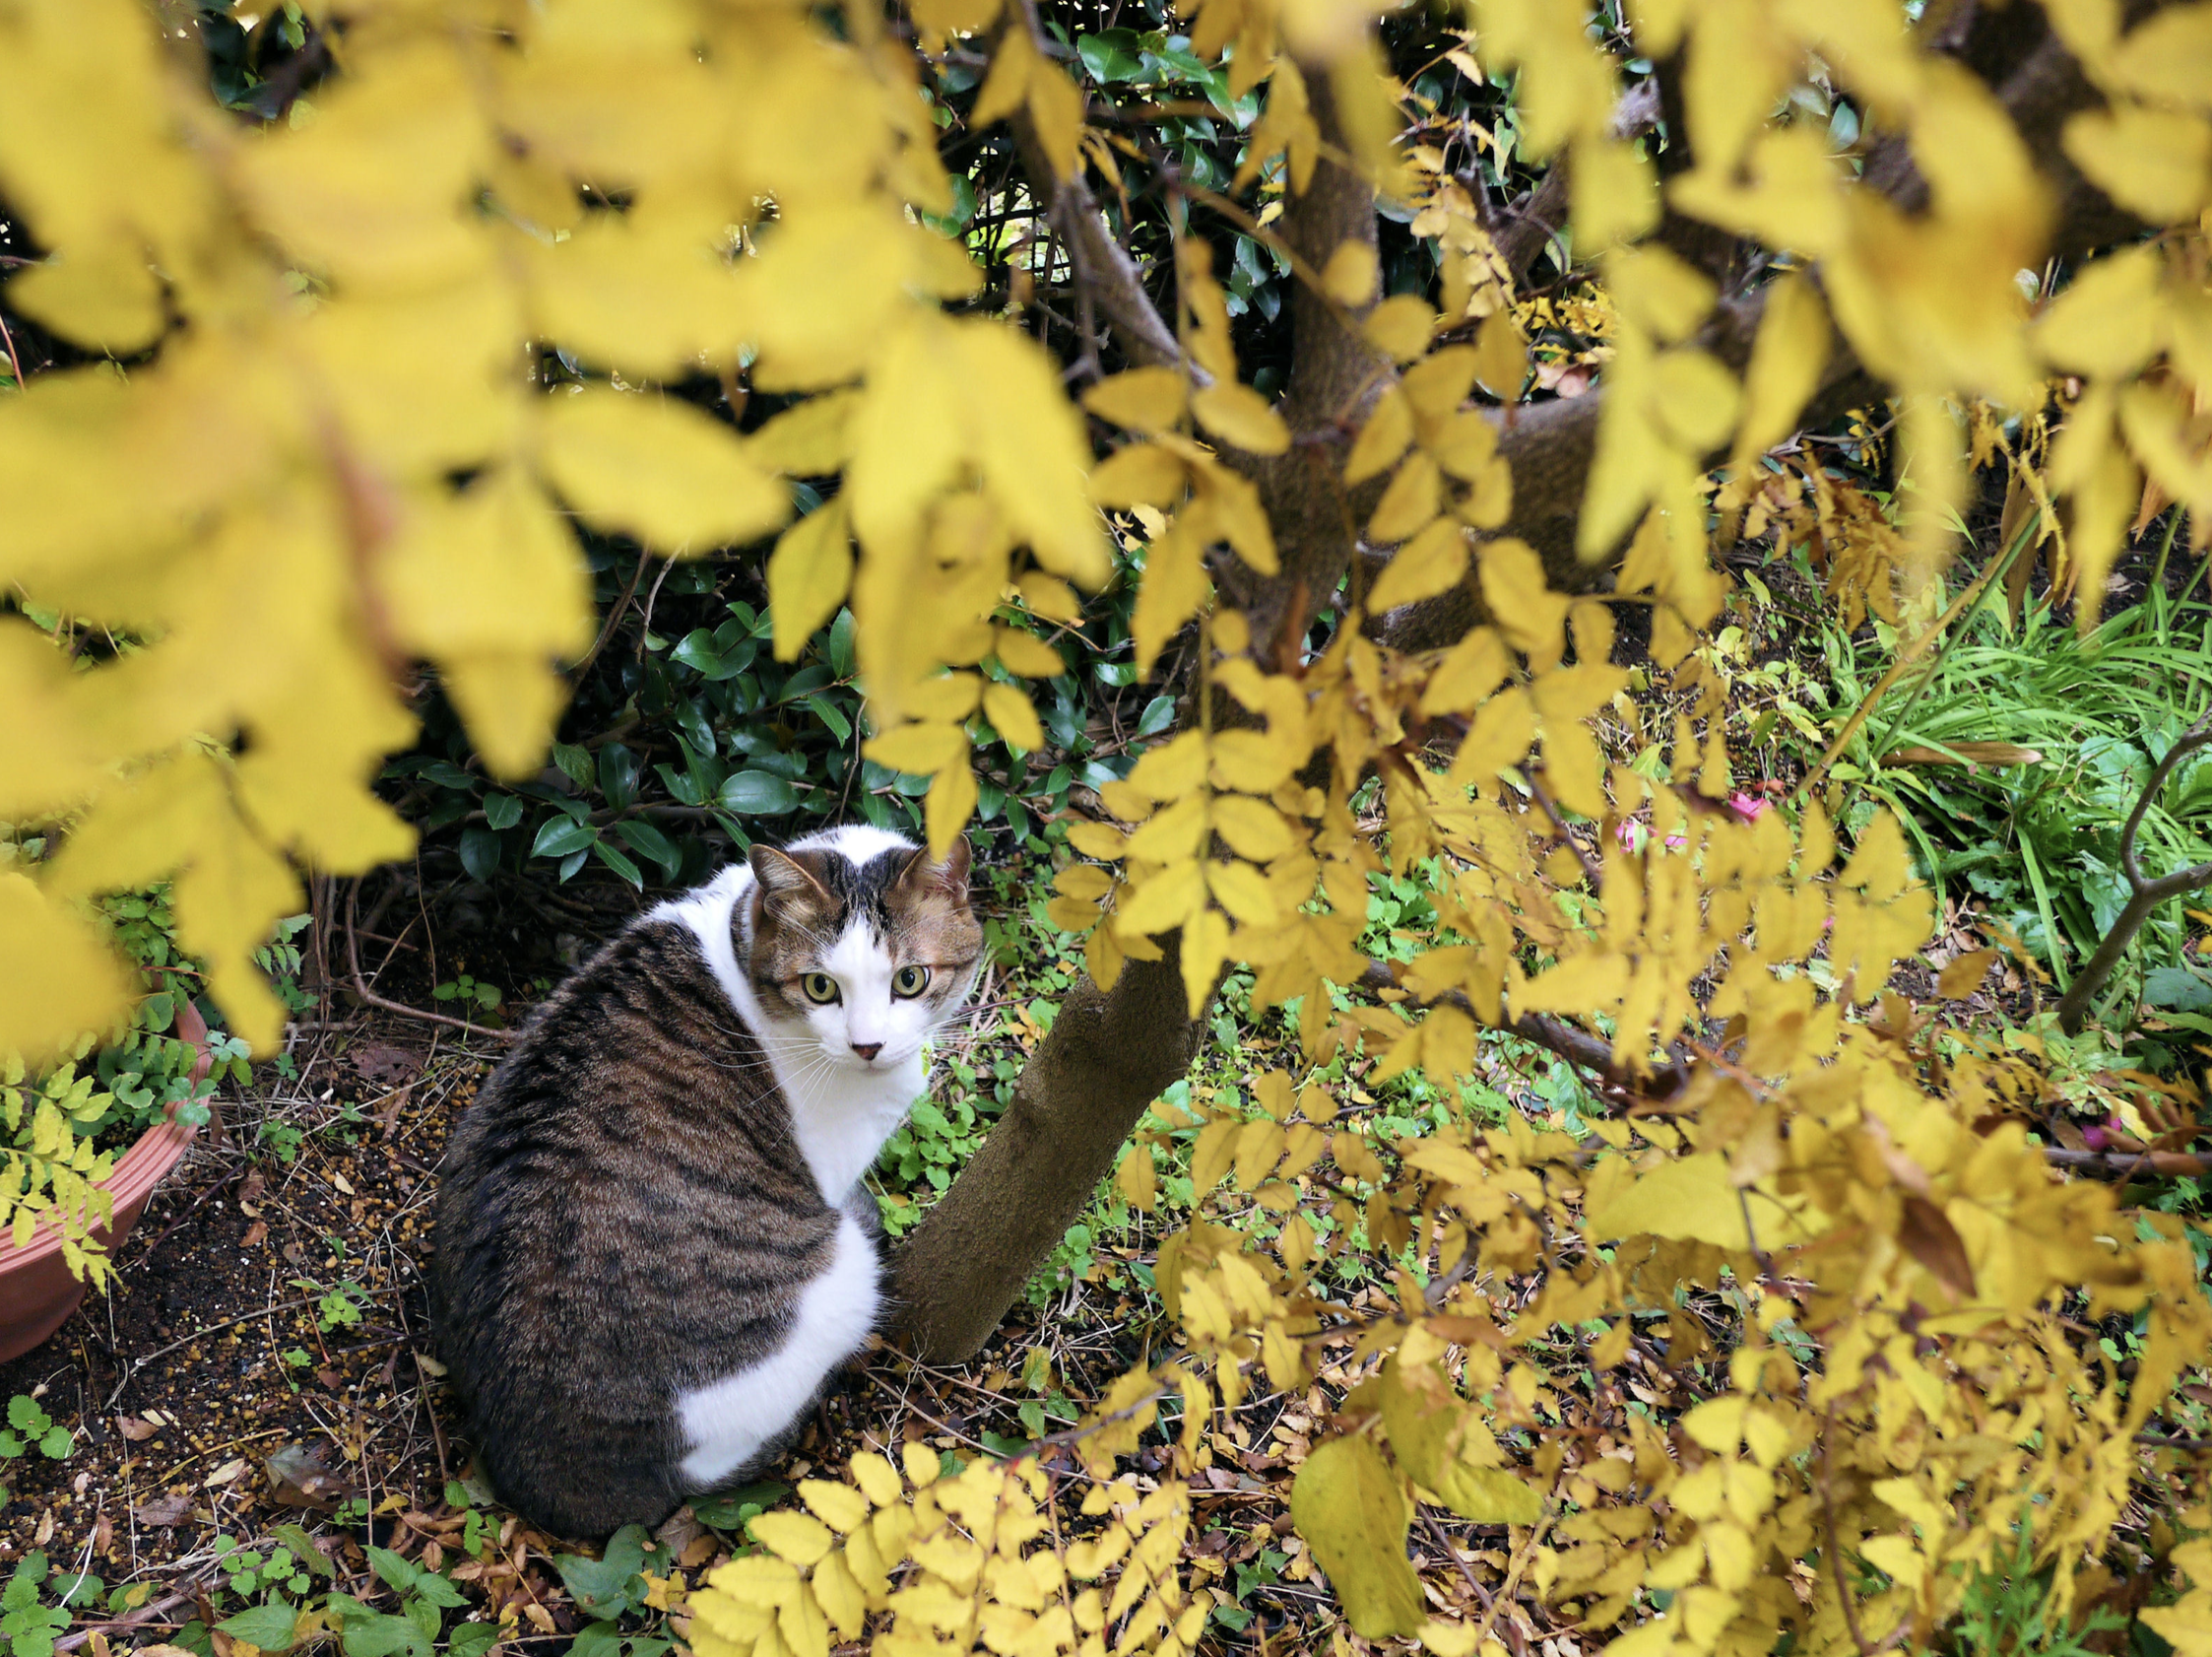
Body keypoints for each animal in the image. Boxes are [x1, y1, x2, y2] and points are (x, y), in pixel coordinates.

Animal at [428, 827, 977, 1539]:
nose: (867, 1046)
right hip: (841, 1284)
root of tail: (556, 1483)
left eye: (910, 980)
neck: (740, 934)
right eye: (821, 987)